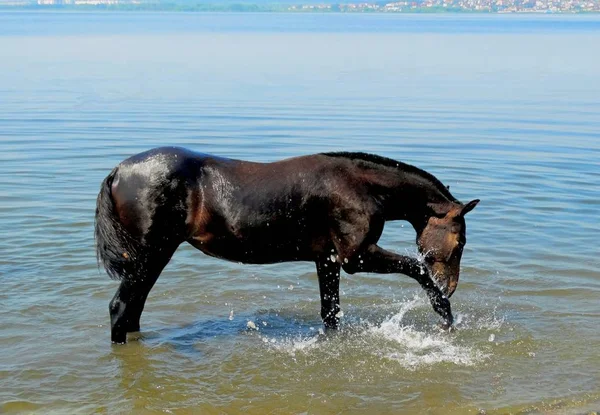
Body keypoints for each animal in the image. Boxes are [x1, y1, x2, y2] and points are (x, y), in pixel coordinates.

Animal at [95, 147, 478, 344]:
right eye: (459, 241)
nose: (451, 287)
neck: (359, 186)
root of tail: (118, 172)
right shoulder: (356, 257)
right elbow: (416, 268)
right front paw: (443, 312)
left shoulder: (328, 260)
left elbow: (330, 313)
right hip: (152, 254)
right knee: (120, 307)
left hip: (151, 258)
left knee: (133, 309)